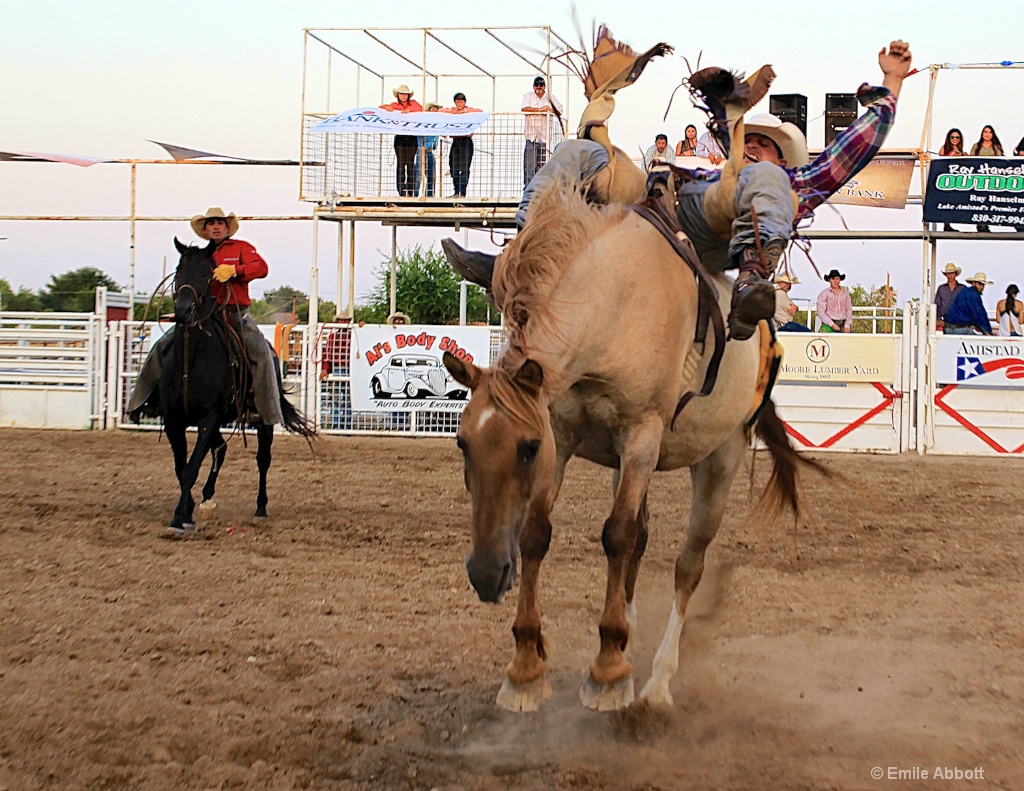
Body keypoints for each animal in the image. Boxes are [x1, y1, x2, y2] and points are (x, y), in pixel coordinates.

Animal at [161, 239, 313, 536]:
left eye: (207, 273)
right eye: (179, 270)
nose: (184, 310)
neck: (191, 360)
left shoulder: (209, 419)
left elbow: (190, 468)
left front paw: (178, 517)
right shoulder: (174, 420)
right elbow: (180, 467)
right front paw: (188, 510)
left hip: (263, 418)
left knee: (262, 459)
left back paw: (261, 508)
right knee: (220, 449)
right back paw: (207, 498)